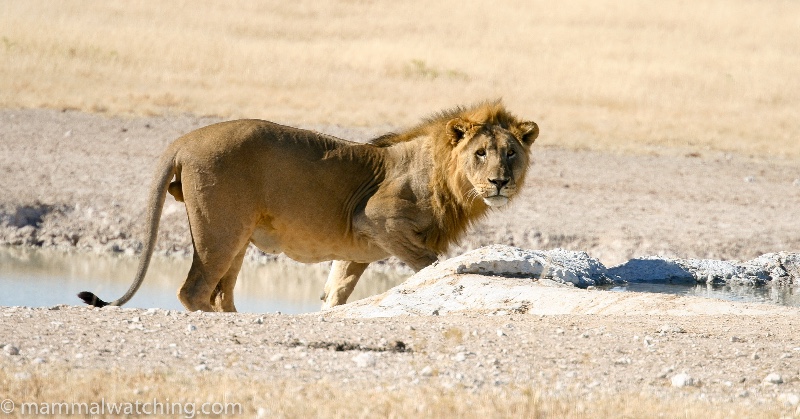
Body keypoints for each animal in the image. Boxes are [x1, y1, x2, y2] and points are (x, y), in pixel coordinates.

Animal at [78, 101, 540, 312]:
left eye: (509, 153)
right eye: (480, 154)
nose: (500, 181)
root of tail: (184, 139)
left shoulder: (359, 246)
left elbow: (337, 290)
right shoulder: (375, 214)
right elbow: (430, 263)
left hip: (235, 237)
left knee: (220, 292)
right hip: (220, 231)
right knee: (194, 290)